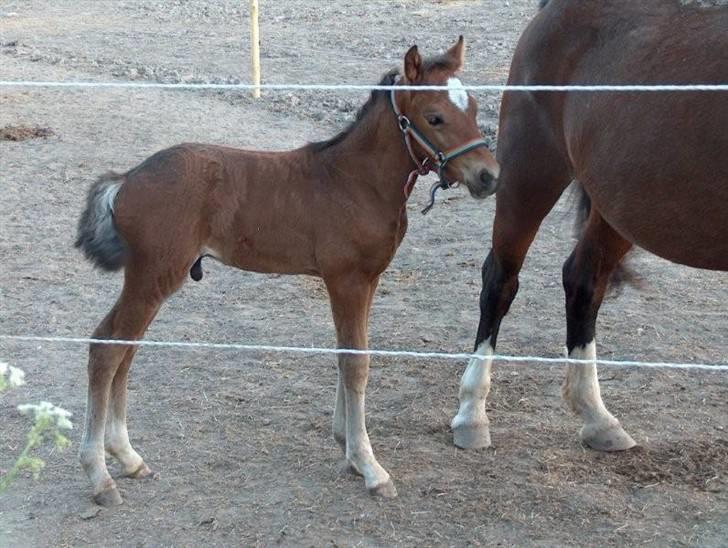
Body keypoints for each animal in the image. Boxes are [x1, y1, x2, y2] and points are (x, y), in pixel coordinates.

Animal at [78, 38, 500, 508]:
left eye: (474, 107)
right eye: (435, 117)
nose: (489, 176)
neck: (355, 181)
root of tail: (126, 180)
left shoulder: (368, 280)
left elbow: (348, 353)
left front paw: (349, 450)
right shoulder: (346, 280)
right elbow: (356, 362)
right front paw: (370, 467)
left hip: (151, 280)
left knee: (124, 349)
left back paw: (128, 458)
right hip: (152, 276)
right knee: (106, 349)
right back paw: (100, 476)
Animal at [452, 0, 724, 452]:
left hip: (618, 207)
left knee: (584, 280)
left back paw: (597, 418)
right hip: (531, 173)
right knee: (500, 281)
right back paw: (472, 414)